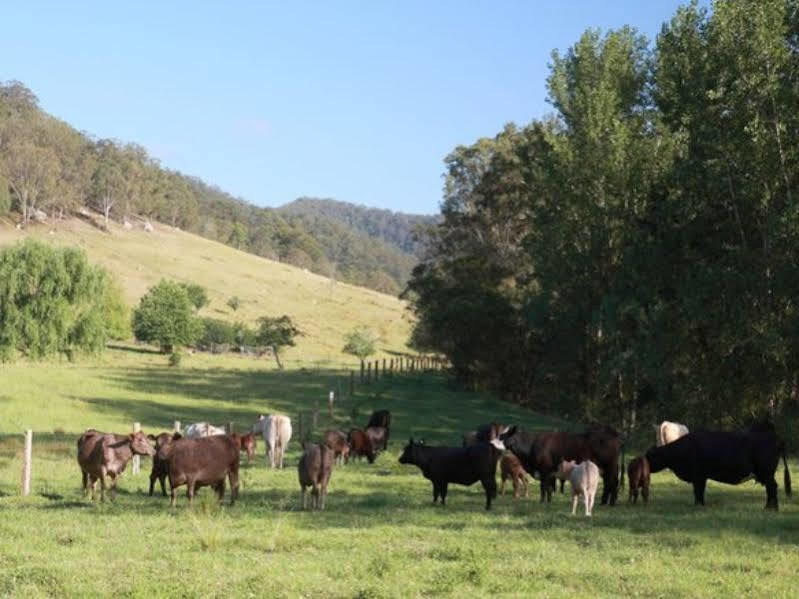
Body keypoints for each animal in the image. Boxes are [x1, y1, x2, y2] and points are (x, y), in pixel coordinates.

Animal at [644, 428, 792, 508]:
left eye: (649, 456)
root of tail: (777, 438)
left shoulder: (699, 476)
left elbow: (698, 491)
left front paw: (699, 505)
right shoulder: (701, 477)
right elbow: (699, 491)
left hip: (767, 473)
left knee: (772, 488)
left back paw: (769, 508)